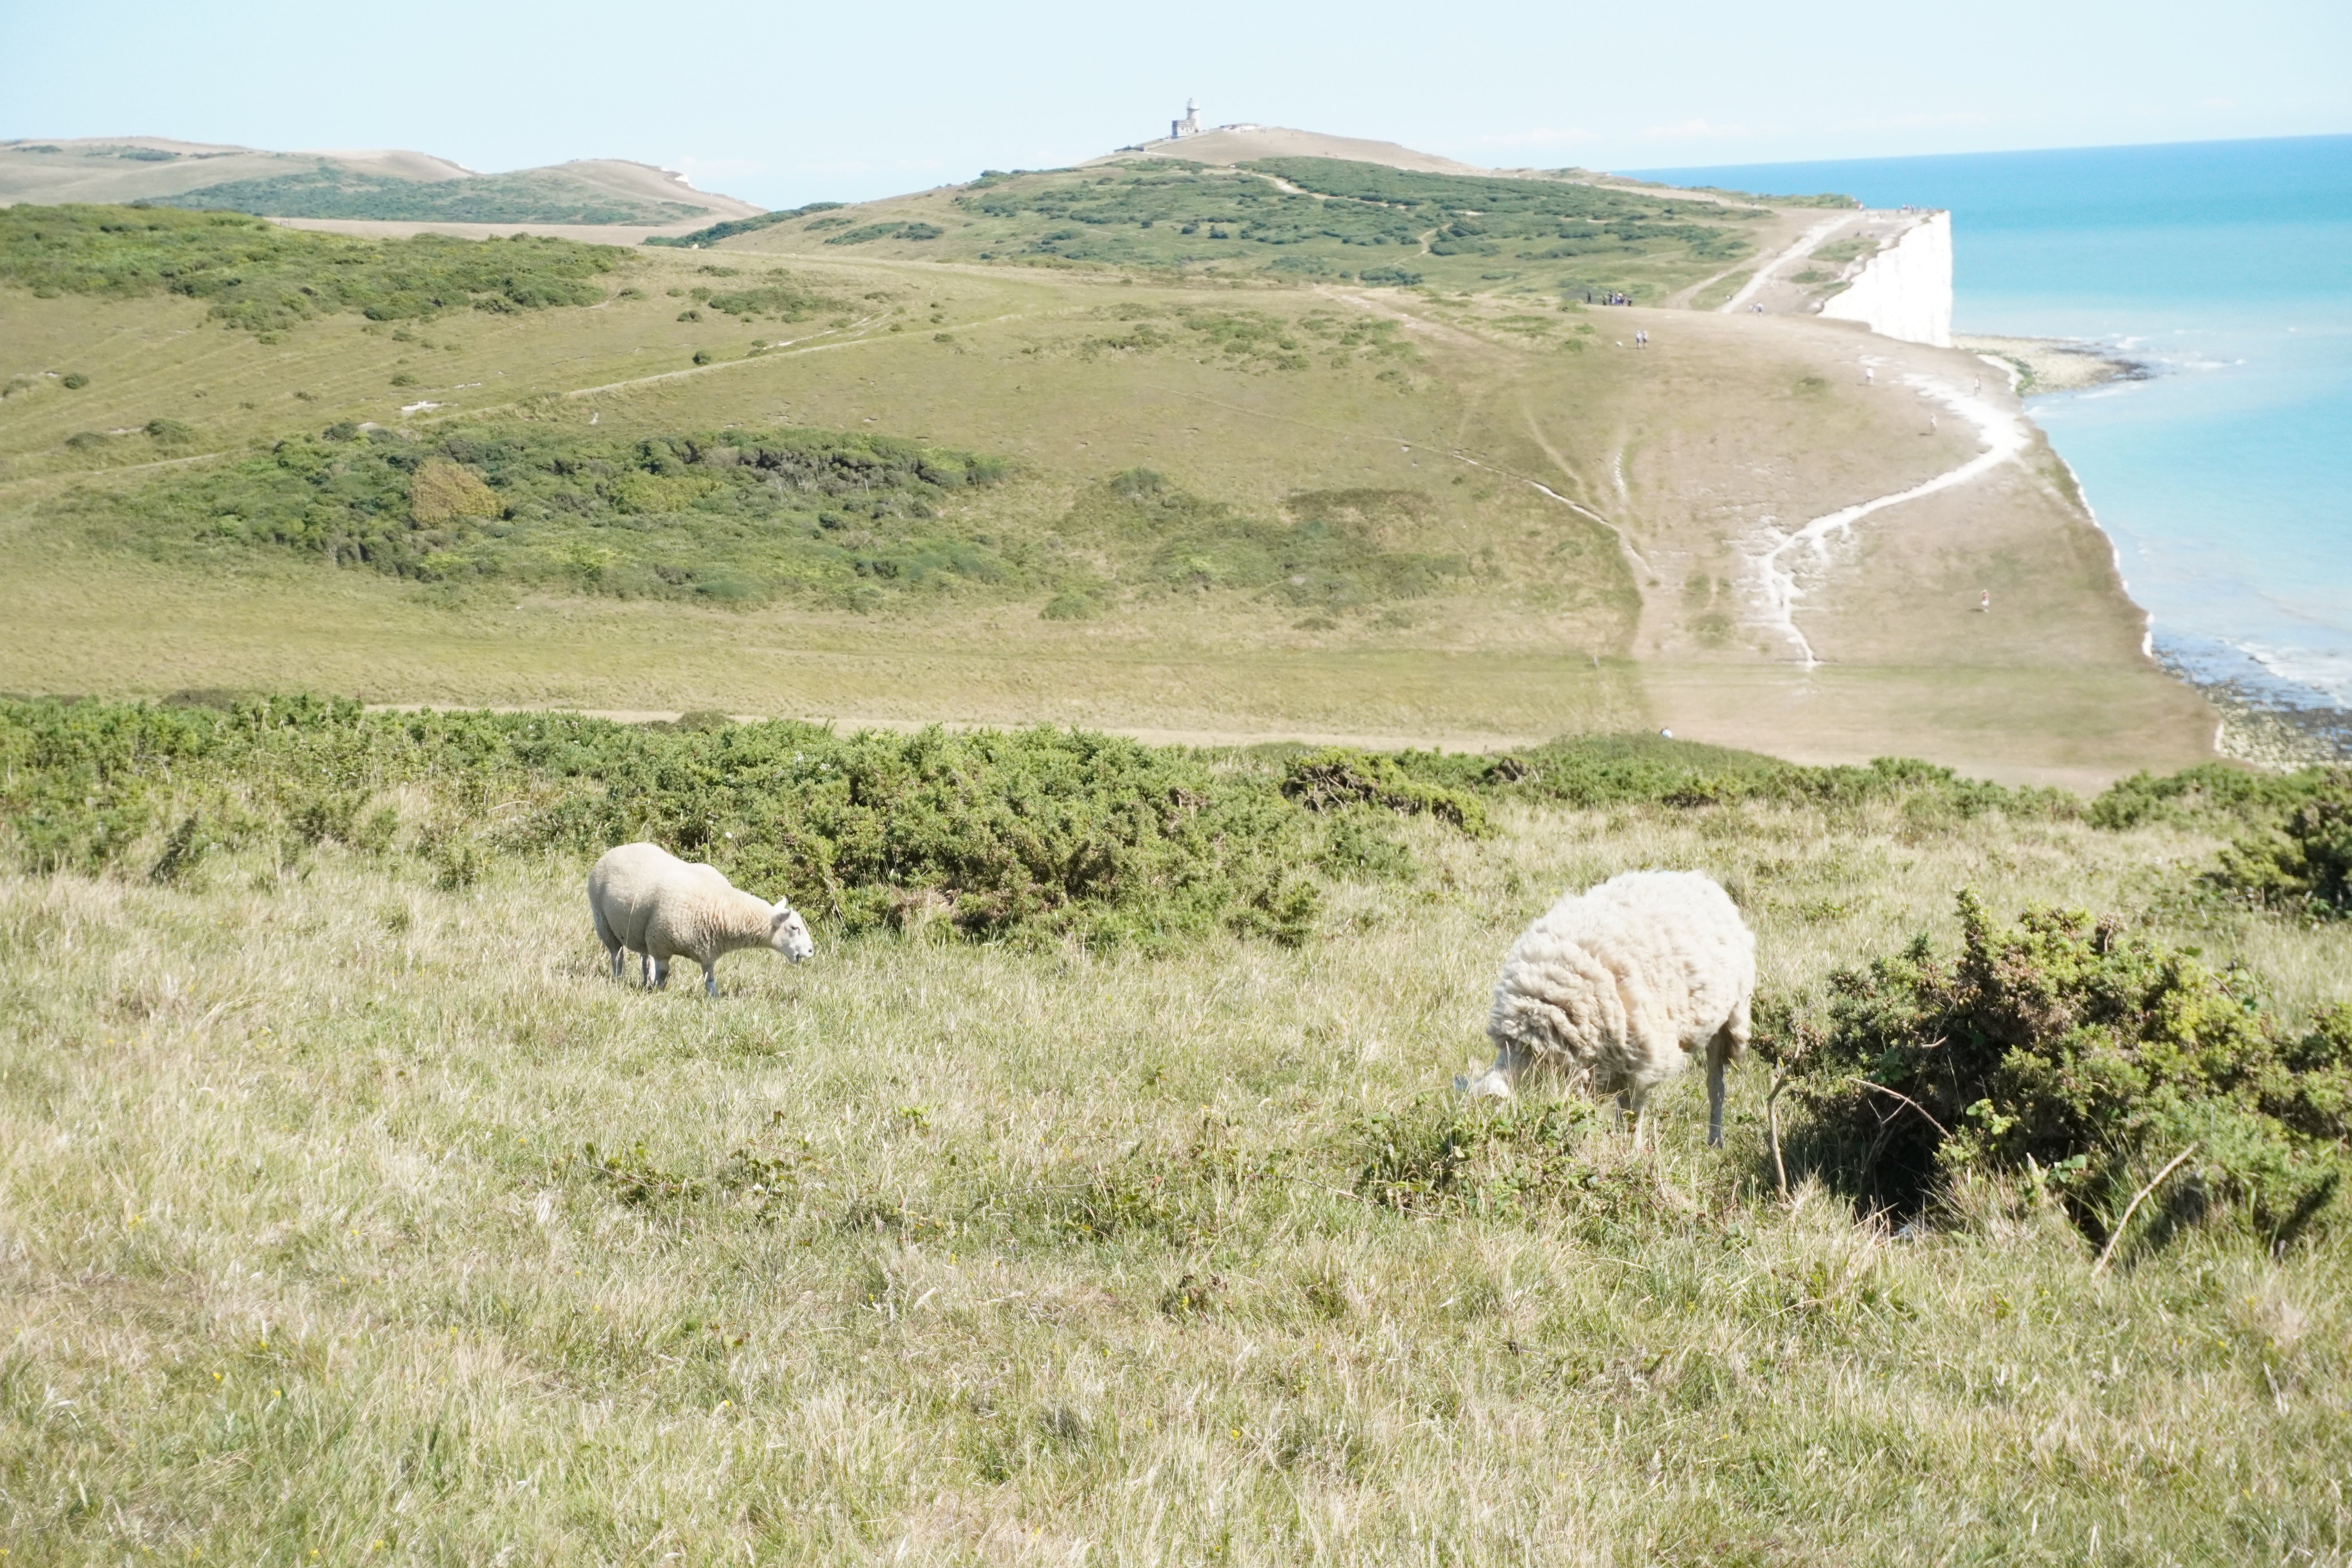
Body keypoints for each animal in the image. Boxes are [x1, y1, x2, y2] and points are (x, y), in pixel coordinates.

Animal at [587, 842, 814, 997]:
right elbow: (664, 972)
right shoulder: (661, 944)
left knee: (644, 958)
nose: (811, 951)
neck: (722, 905)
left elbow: (710, 978)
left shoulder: (708, 950)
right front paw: (659, 992)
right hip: (604, 923)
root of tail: (616, 849)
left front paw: (714, 999)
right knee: (617, 956)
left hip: (639, 930)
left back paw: (646, 980)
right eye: (794, 928)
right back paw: (620, 979)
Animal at [1459, 870, 1754, 1150]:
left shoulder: (1644, 1064)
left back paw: (1715, 1140)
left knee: (1715, 1085)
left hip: (1730, 1018)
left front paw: (1631, 1154)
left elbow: (1631, 1117)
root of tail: (1695, 878)